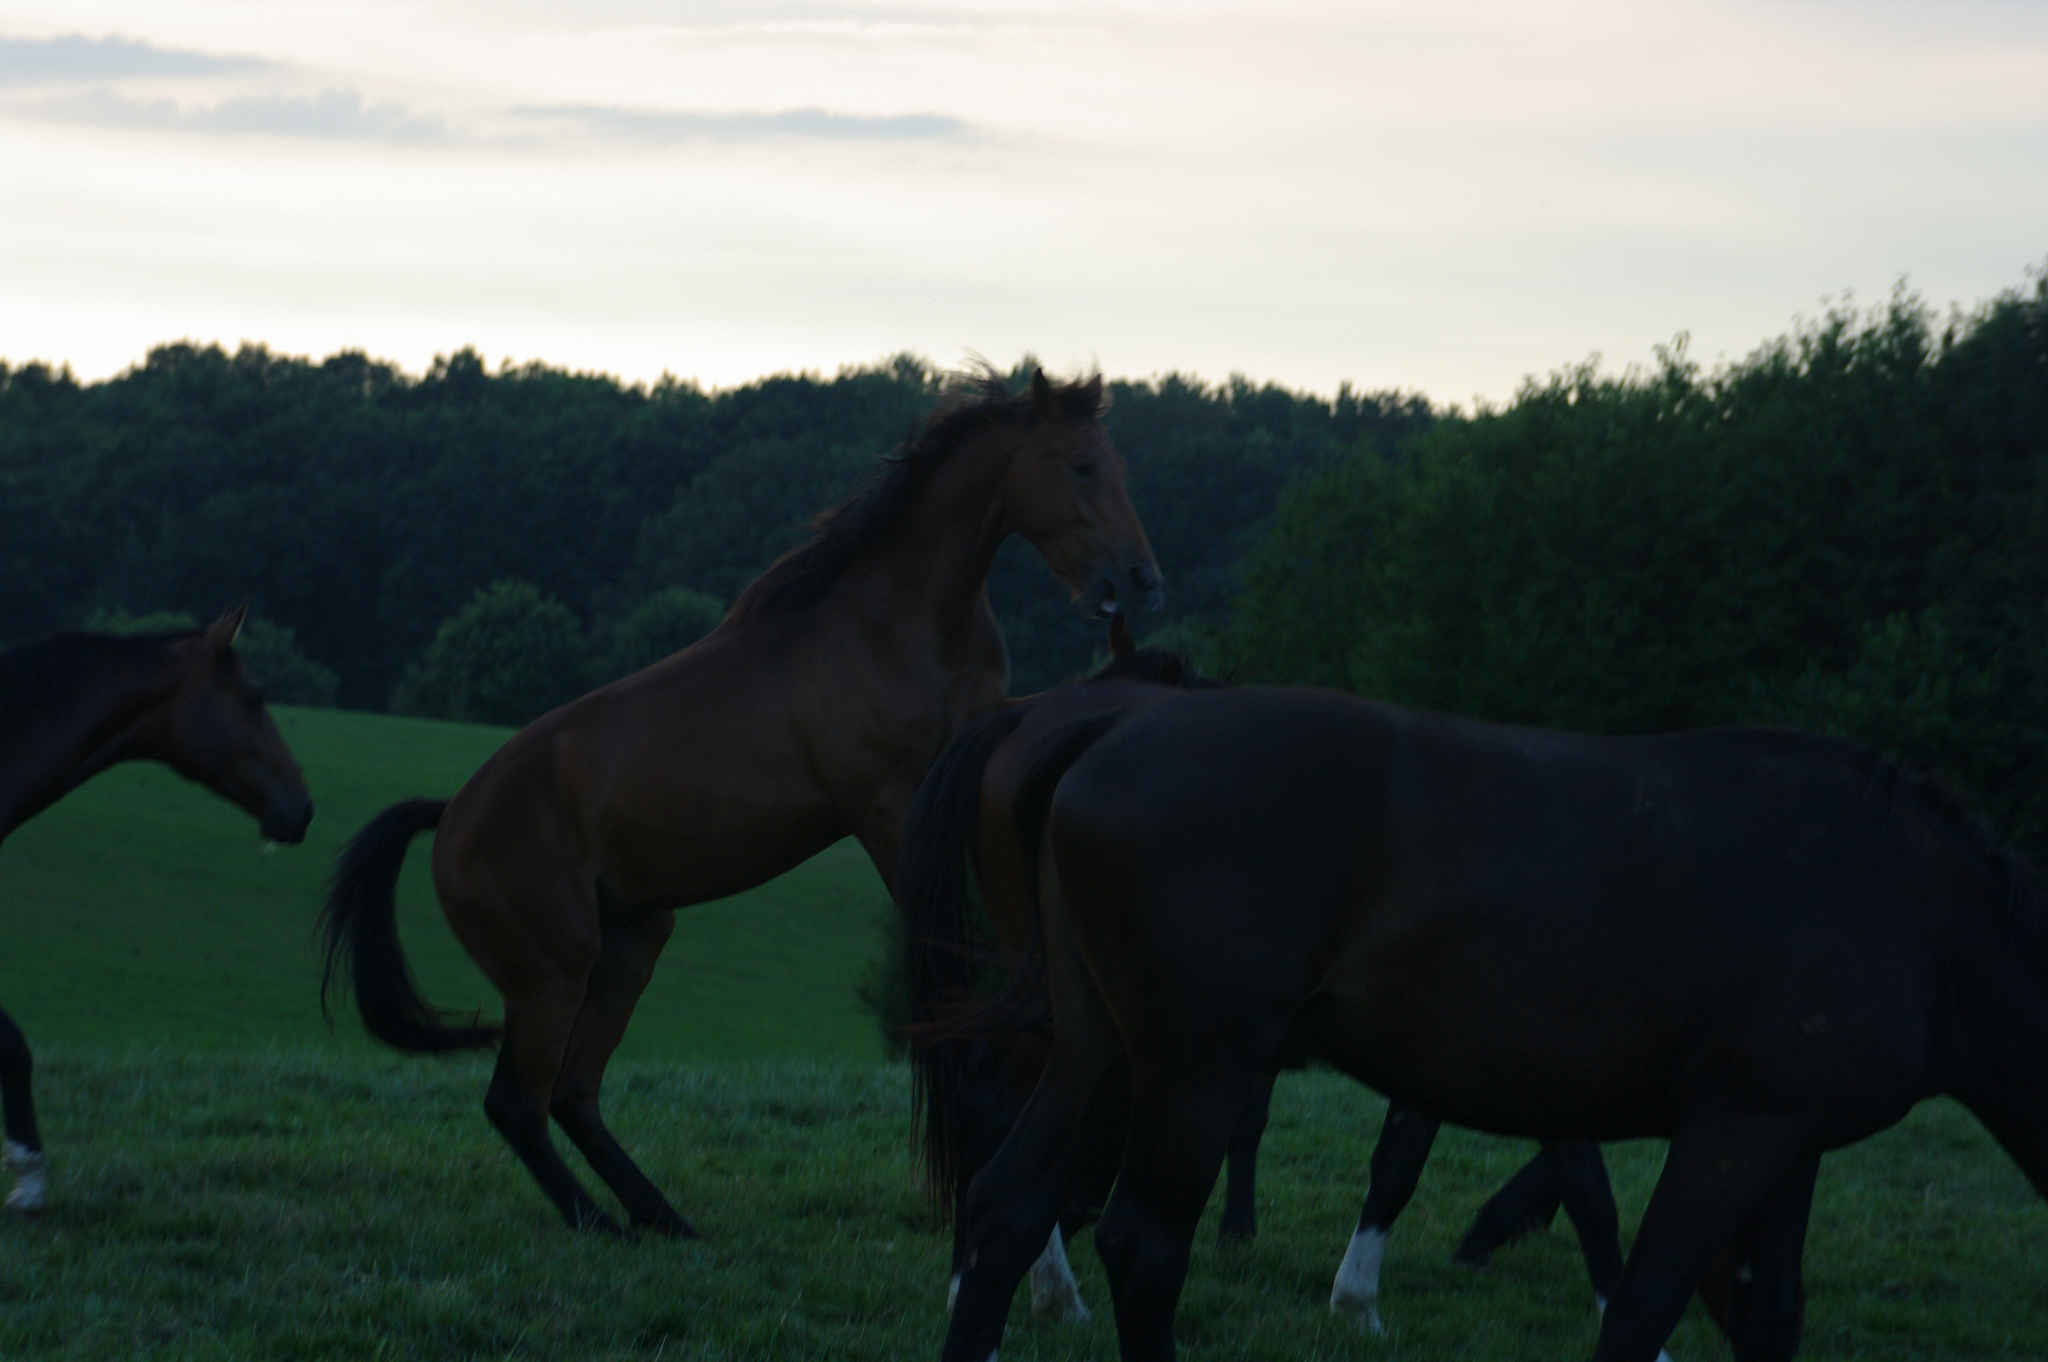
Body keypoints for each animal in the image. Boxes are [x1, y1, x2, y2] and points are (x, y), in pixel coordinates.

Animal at [320, 370, 1162, 1238]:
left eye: (1117, 466)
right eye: (1080, 466)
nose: (1142, 581)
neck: (898, 623)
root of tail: (452, 812)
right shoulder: (888, 810)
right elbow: (959, 963)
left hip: (629, 948)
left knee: (573, 1095)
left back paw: (663, 1218)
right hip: (551, 975)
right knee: (517, 1102)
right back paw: (599, 1222)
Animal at [935, 684, 2048, 1362]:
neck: (1912, 910)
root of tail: (1107, 725)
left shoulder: (1790, 1142)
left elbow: (1767, 1313)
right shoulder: (1735, 1133)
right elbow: (1641, 1301)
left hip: (1097, 1058)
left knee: (1005, 1209)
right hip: (1190, 1073)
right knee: (1142, 1248)